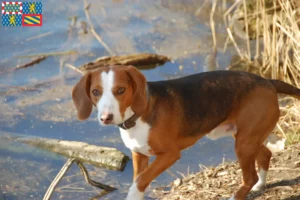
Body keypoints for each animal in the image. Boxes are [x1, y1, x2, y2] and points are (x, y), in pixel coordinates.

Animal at [72, 65, 300, 199]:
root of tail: (268, 81)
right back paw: (260, 186)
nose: (106, 118)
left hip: (244, 144)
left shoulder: (170, 155)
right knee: (266, 155)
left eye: (120, 90)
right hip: (246, 138)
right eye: (95, 92)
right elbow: (139, 179)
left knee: (249, 176)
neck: (138, 115)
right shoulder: (139, 154)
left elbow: (140, 181)